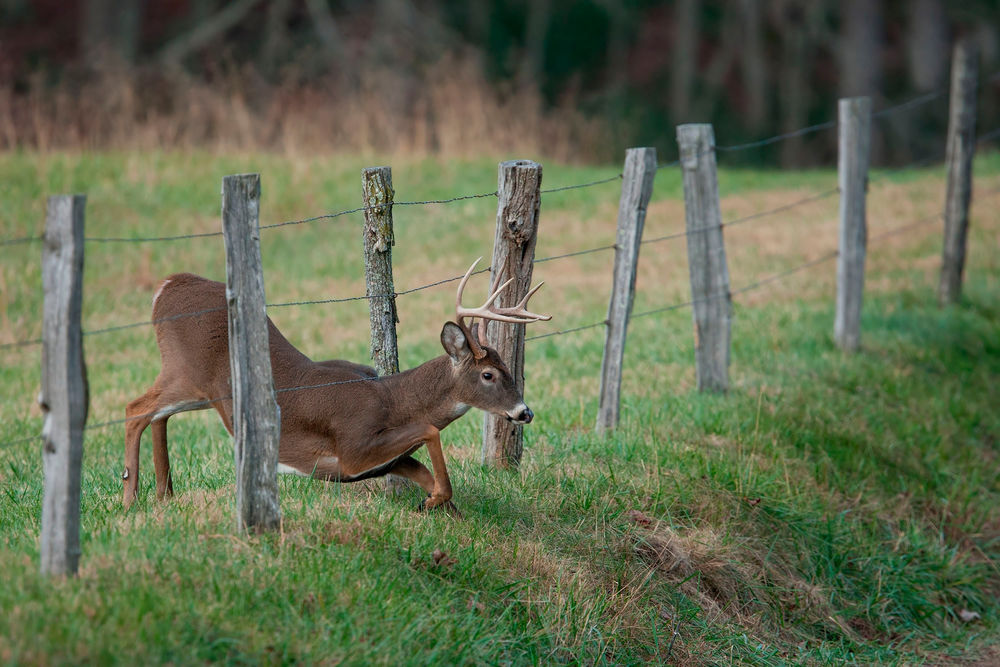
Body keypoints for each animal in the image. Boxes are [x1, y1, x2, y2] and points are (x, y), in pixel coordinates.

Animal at [122, 258, 549, 516]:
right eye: (488, 375)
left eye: (507, 366)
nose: (524, 412)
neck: (393, 401)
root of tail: (166, 286)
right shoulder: (352, 448)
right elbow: (430, 431)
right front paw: (429, 504)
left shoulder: (386, 460)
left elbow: (434, 479)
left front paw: (434, 504)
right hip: (185, 372)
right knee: (136, 409)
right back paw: (130, 499)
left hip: (197, 391)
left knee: (158, 415)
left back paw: (164, 494)